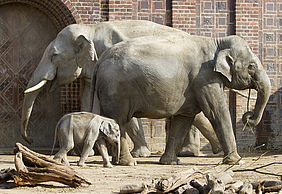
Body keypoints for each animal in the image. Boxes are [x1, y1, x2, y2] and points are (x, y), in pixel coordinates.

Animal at [20, 20, 221, 158]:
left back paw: (206, 152)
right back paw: (192, 152)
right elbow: (88, 102)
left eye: (54, 55)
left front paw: (140, 154)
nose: (30, 140)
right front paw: (88, 152)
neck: (91, 28)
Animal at [91, 31, 270, 165]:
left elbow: (184, 119)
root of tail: (100, 61)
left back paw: (116, 161)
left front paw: (169, 162)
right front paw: (236, 161)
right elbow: (216, 112)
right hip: (117, 90)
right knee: (119, 120)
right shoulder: (205, 78)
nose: (248, 116)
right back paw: (128, 162)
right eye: (251, 66)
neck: (216, 43)